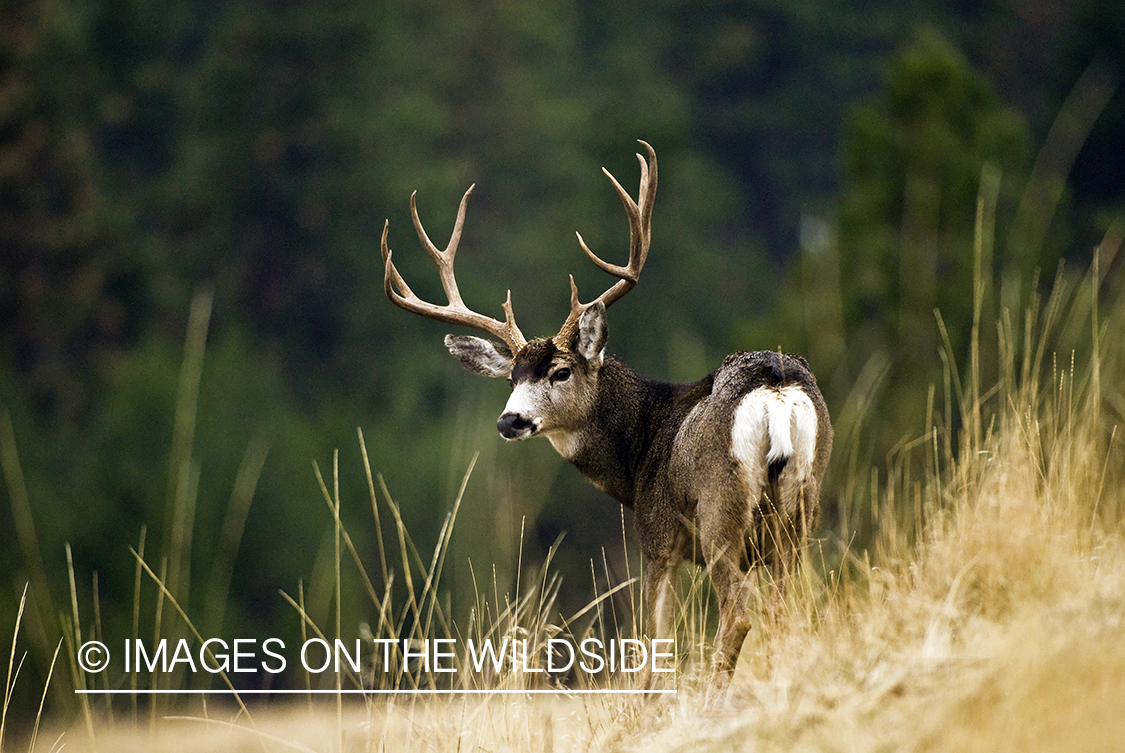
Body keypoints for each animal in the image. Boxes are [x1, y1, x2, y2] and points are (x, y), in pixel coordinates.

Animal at [379, 141, 833, 694]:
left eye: (560, 371)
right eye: (510, 379)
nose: (510, 421)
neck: (640, 448)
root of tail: (775, 387)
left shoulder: (659, 536)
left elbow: (655, 646)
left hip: (720, 508)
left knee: (740, 615)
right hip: (802, 507)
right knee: (790, 610)